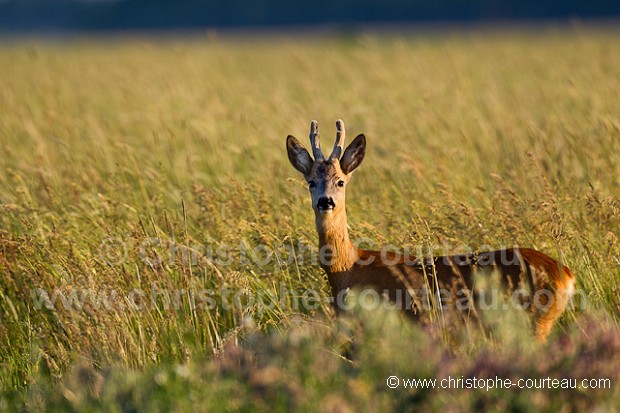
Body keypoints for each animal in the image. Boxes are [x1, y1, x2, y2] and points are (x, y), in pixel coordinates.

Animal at [286, 119, 576, 342]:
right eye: (311, 182)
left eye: (340, 181)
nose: (326, 202)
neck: (348, 268)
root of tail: (566, 274)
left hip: (535, 321)